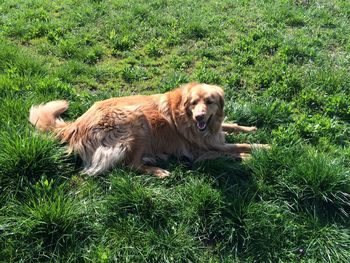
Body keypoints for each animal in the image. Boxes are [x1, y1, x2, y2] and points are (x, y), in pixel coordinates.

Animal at [30, 83, 268, 177]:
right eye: (193, 103)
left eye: (209, 102)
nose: (199, 117)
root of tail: (77, 123)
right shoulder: (201, 149)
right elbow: (237, 147)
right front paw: (262, 148)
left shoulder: (214, 134)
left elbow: (231, 127)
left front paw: (250, 128)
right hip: (137, 121)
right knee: (130, 165)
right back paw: (158, 170)